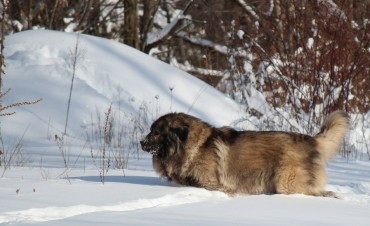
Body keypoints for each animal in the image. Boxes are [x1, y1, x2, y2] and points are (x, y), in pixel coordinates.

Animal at [140, 111, 348, 196]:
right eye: (151, 130)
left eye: (156, 132)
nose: (141, 142)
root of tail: (311, 140)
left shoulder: (213, 184)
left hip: (287, 184)